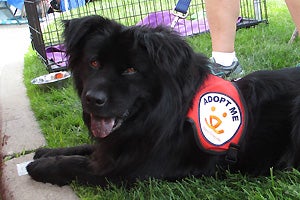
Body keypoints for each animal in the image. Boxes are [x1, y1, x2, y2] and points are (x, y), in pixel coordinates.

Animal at [27, 15, 300, 186]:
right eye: (94, 63)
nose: (93, 99)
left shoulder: (131, 170)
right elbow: (85, 148)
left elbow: (76, 165)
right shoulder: (119, 146)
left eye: (130, 70)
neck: (158, 112)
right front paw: (47, 152)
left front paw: (41, 167)